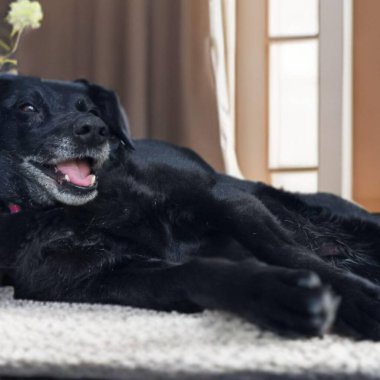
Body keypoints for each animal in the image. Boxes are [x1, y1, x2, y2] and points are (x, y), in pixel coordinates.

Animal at [0, 72, 380, 340]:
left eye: (93, 112)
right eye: (26, 108)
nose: (96, 128)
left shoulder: (225, 200)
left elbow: (288, 251)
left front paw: (358, 298)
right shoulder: (95, 279)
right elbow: (192, 273)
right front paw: (277, 295)